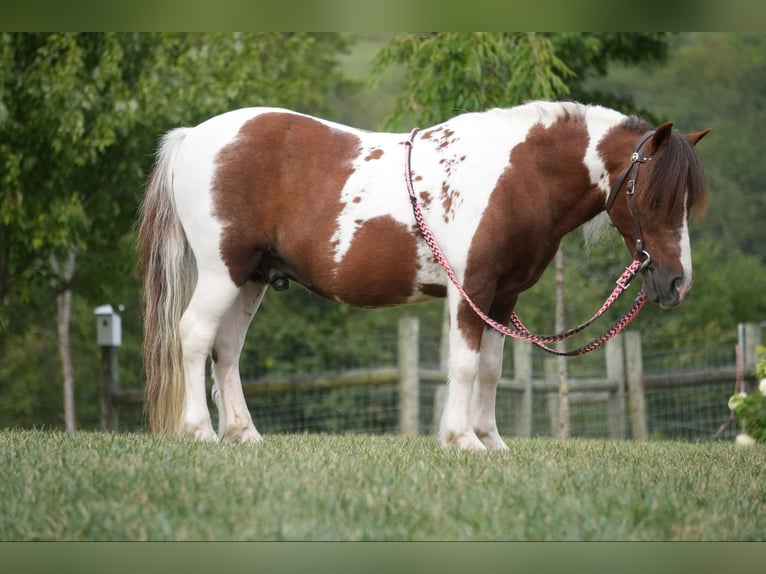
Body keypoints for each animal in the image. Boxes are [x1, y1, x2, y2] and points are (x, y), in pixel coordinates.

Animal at [138, 101, 712, 452]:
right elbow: (463, 364)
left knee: (227, 350)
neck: (516, 176)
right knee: (195, 337)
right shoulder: (470, 292)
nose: (677, 283)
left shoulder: (502, 298)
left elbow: (491, 370)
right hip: (222, 272)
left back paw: (243, 433)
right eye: (655, 197)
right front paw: (461, 440)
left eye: (686, 200)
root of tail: (194, 137)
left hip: (252, 278)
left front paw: (491, 440)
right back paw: (200, 431)